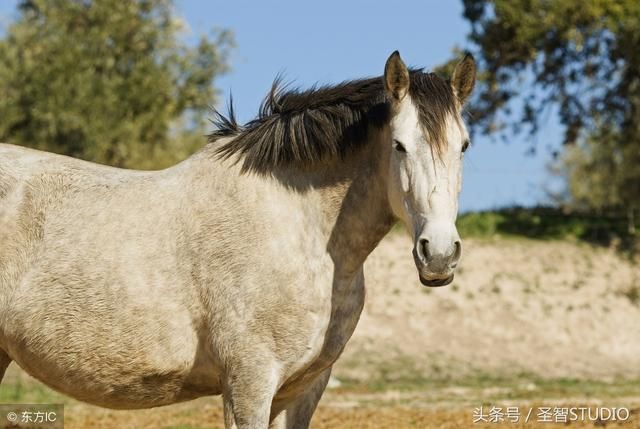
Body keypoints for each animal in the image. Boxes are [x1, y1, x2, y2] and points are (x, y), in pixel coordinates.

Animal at [0, 53, 476, 428]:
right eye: (399, 145)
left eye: (464, 146)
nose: (438, 254)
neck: (297, 230)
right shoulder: (249, 382)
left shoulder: (303, 388)